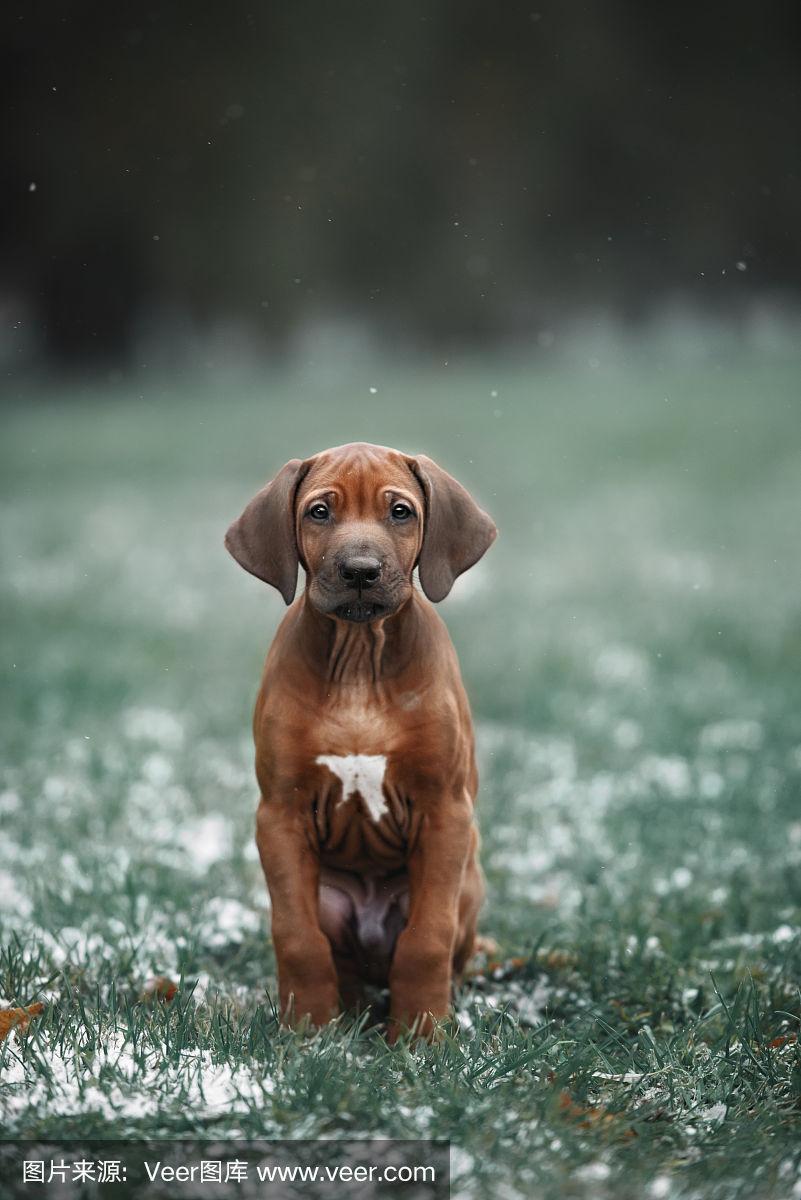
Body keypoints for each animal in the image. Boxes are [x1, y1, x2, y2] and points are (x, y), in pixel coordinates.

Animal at [224, 444, 494, 1041]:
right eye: (320, 512)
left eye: (401, 512)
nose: (361, 572)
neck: (358, 662)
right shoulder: (280, 814)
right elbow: (297, 937)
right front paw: (308, 1032)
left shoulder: (445, 812)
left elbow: (427, 939)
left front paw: (421, 1036)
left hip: (466, 882)